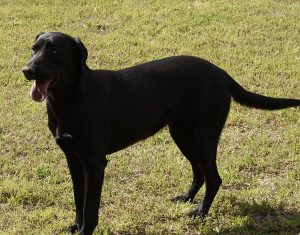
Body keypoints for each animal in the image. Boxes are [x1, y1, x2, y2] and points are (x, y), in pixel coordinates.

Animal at [21, 31, 300, 235]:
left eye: (54, 51)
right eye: (34, 49)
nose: (27, 70)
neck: (69, 100)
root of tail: (222, 74)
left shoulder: (94, 163)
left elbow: (90, 206)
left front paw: (85, 230)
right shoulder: (73, 159)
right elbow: (79, 199)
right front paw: (76, 225)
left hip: (202, 137)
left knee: (214, 178)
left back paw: (200, 212)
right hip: (183, 135)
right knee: (199, 173)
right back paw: (187, 198)